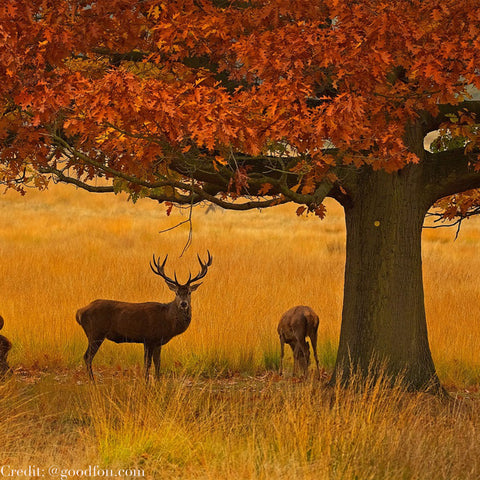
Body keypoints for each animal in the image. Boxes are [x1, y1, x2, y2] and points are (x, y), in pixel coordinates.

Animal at [76, 251, 212, 382]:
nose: (183, 304)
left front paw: (158, 382)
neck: (167, 319)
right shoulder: (149, 338)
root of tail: (80, 312)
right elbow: (148, 364)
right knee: (87, 356)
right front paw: (147, 383)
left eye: (189, 292)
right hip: (95, 333)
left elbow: (158, 363)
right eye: (177, 293)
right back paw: (93, 382)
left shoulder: (158, 342)